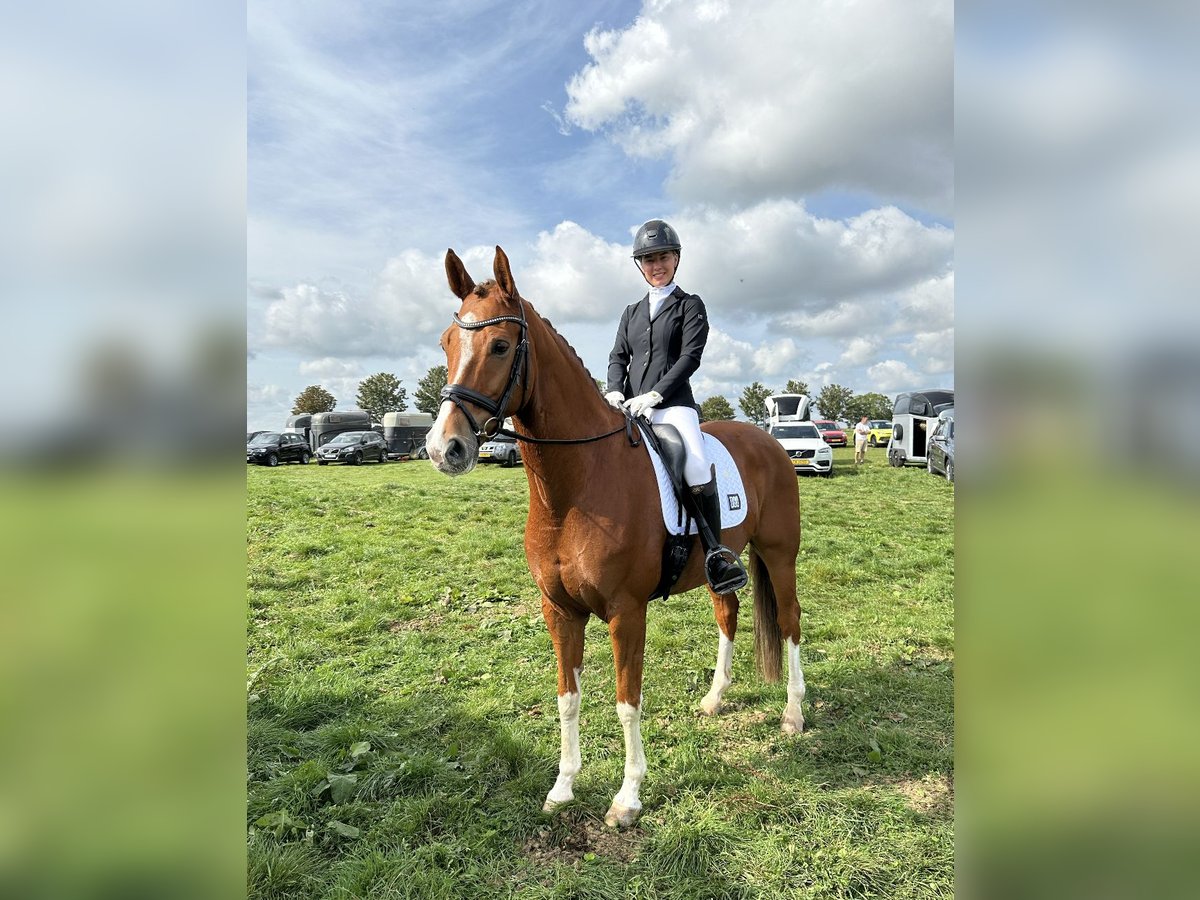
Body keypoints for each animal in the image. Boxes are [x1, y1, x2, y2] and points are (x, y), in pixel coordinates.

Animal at [424, 247, 806, 830]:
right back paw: (714, 700)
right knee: (729, 612)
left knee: (789, 621)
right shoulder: (559, 610)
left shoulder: (627, 612)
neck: (575, 489)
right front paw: (563, 787)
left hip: (780, 555)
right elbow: (568, 697)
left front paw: (627, 799)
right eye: (447, 342)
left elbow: (628, 702)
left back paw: (793, 714)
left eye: (500, 345)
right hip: (724, 566)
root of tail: (768, 441)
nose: (444, 448)